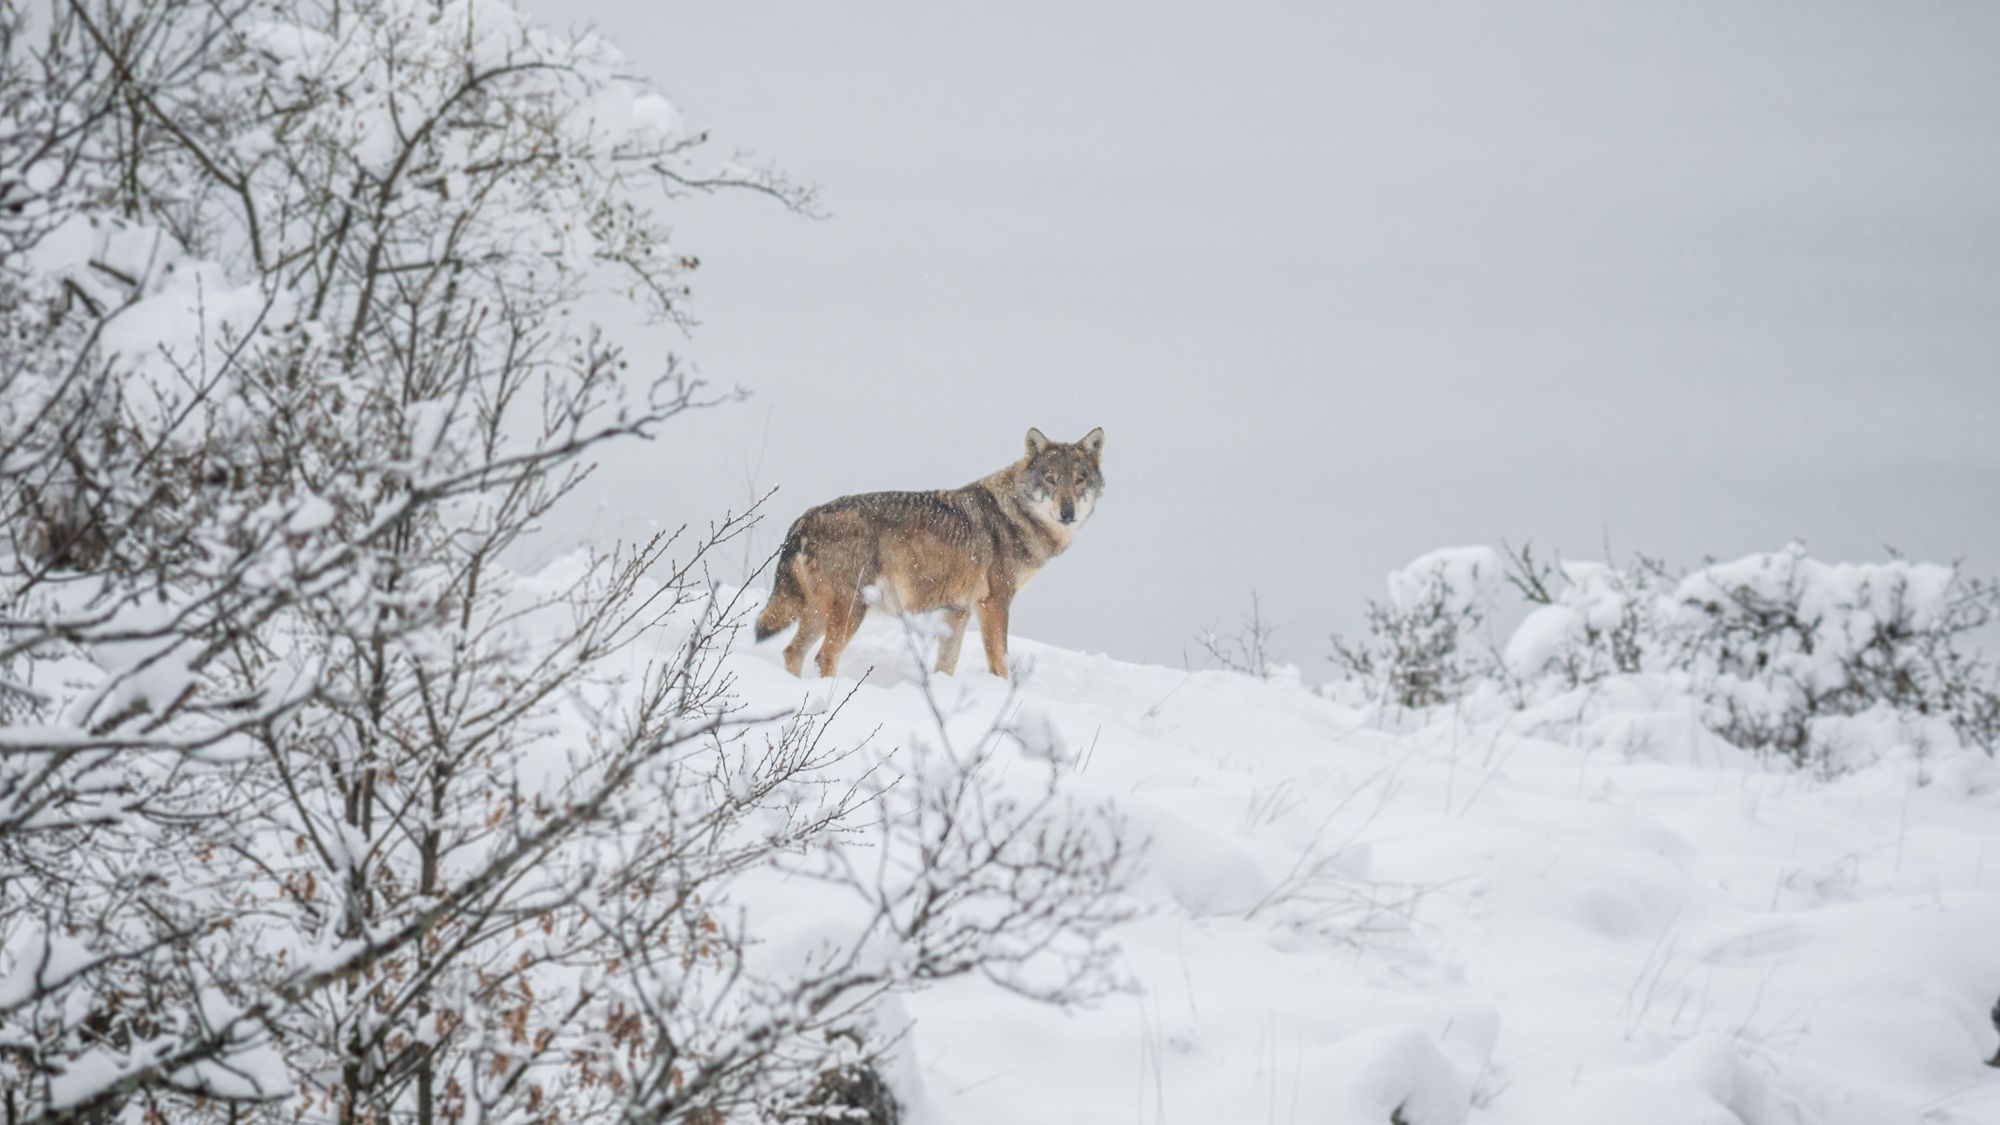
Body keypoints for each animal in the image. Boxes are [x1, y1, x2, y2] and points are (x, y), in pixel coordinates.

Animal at [752, 426, 1104, 672]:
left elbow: (946, 666)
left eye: (1080, 479)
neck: (1013, 514)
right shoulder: (994, 603)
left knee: (792, 651)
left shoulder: (958, 611)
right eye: (1051, 479)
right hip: (851, 610)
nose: (1068, 512)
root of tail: (805, 519)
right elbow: (1000, 663)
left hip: (816, 612)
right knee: (824, 656)